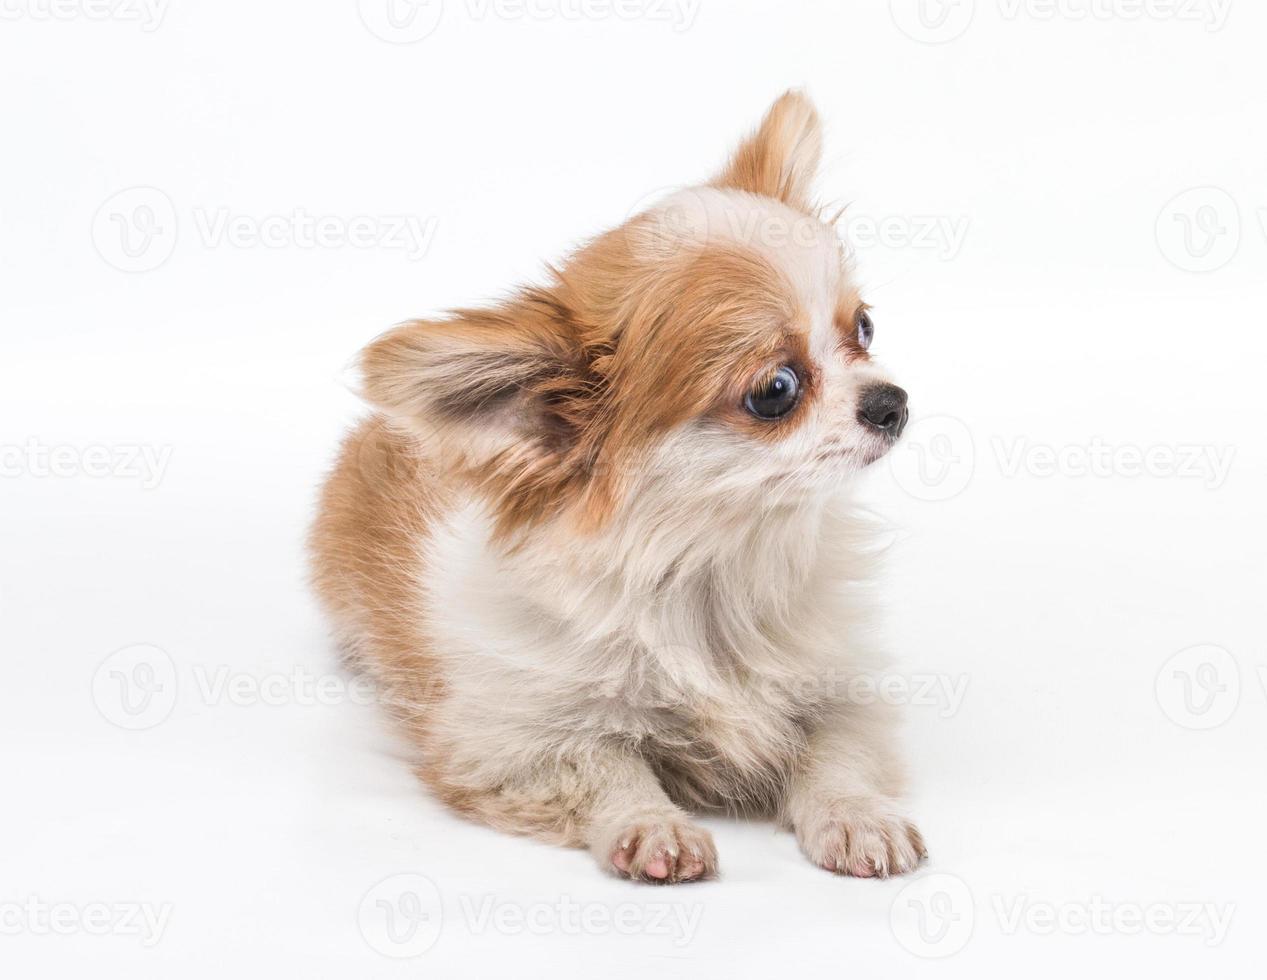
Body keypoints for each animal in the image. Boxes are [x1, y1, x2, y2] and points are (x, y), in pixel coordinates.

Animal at [311, 91, 927, 882]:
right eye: (776, 391)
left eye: (865, 328)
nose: (893, 402)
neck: (713, 566)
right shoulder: (511, 741)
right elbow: (608, 766)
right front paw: (651, 825)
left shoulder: (844, 690)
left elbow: (837, 752)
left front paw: (856, 817)